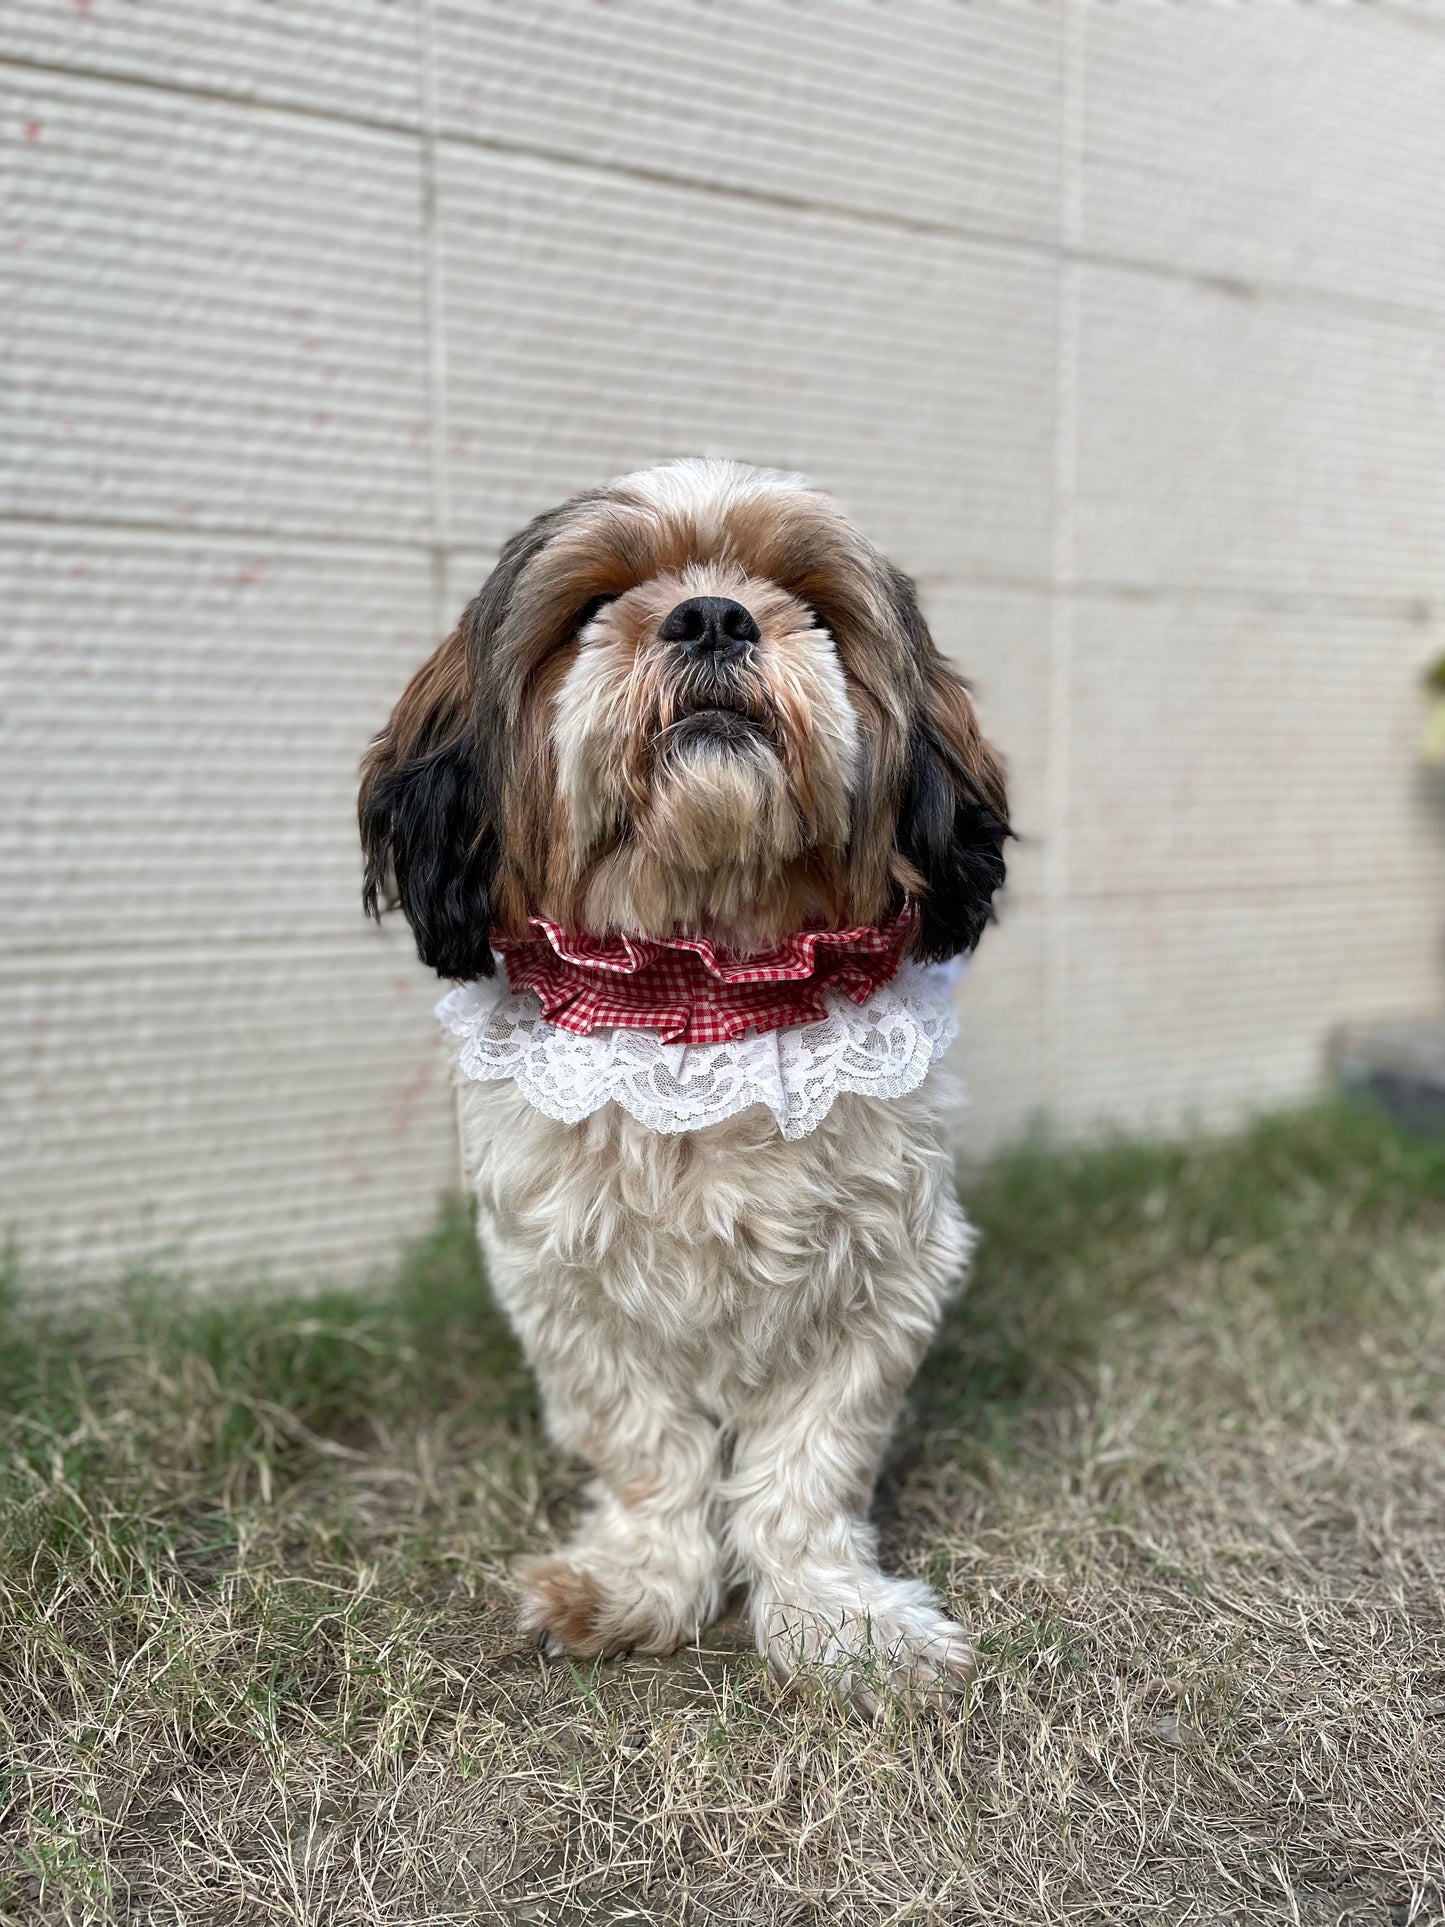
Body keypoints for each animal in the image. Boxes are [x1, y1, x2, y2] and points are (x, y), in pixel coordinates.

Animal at [360, 458, 1009, 1711]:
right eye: (591, 604)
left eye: (813, 605)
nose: (711, 615)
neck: (705, 987)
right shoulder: (566, 1288)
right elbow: (645, 1448)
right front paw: (635, 1584)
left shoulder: (881, 1280)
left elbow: (808, 1468)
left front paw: (836, 1618)